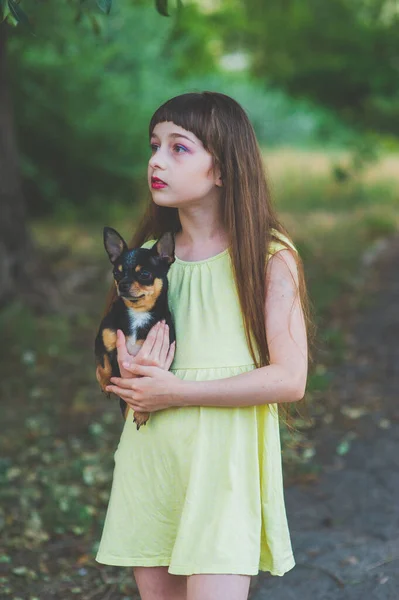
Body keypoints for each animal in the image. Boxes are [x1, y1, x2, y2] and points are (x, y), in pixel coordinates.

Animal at [94, 227, 176, 428]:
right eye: (116, 274)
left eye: (145, 274)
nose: (123, 285)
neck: (138, 313)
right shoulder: (101, 342)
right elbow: (104, 365)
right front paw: (105, 383)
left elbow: (147, 386)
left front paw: (142, 413)